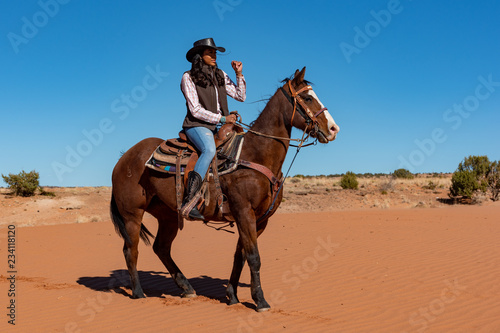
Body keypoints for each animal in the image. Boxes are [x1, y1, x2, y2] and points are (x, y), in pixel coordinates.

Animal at [110, 66, 340, 310]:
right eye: (308, 98)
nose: (333, 128)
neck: (255, 154)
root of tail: (123, 159)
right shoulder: (244, 212)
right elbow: (254, 256)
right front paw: (260, 300)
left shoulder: (259, 220)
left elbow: (241, 255)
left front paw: (232, 295)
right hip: (132, 214)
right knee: (131, 250)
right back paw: (138, 292)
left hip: (168, 216)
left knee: (161, 248)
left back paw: (187, 288)